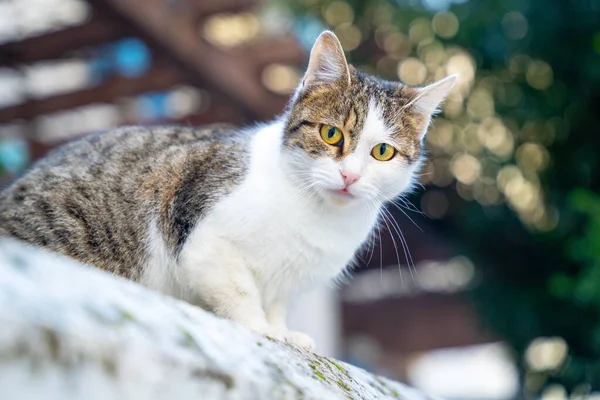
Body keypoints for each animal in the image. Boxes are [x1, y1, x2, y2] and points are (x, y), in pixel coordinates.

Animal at [0, 32, 454, 350]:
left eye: (382, 152)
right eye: (331, 134)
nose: (350, 177)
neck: (317, 216)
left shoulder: (291, 279)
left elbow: (276, 304)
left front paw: (283, 330)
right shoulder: (203, 240)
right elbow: (240, 290)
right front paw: (259, 328)